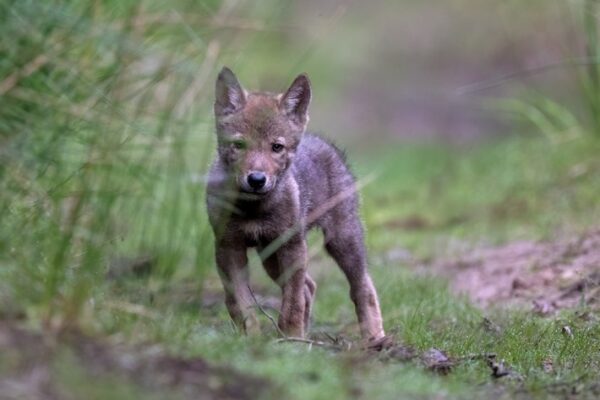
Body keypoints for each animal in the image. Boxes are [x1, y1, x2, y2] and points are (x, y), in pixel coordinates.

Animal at [206, 67, 385, 341]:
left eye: (276, 147)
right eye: (239, 145)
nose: (256, 179)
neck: (253, 208)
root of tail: (324, 142)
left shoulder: (292, 246)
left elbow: (292, 303)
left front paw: (291, 336)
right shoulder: (228, 248)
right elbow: (240, 303)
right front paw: (250, 339)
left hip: (342, 241)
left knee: (362, 286)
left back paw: (375, 338)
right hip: (270, 256)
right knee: (310, 286)